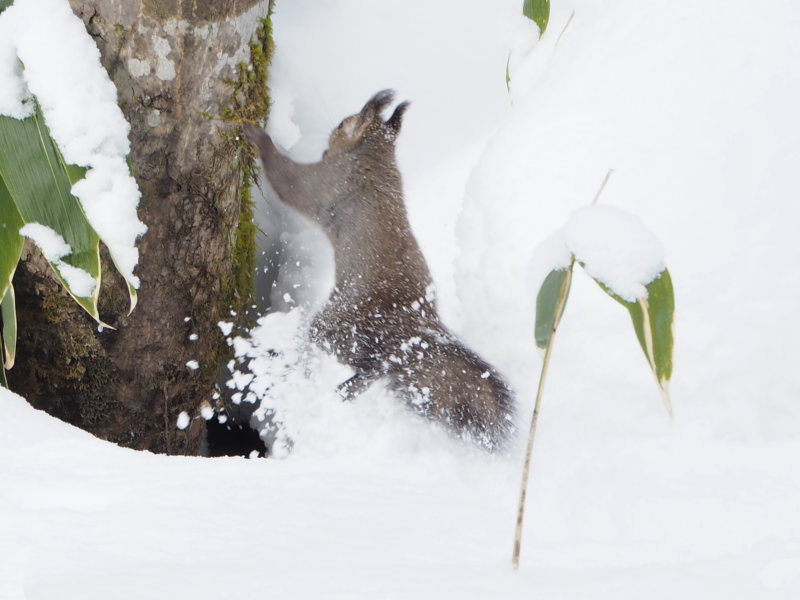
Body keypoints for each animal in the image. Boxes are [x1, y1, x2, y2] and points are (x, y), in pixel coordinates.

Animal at [244, 89, 516, 450]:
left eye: (344, 124)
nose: (329, 134)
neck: (375, 156)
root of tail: (417, 330)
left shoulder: (325, 182)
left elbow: (288, 181)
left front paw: (256, 135)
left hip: (341, 325)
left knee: (375, 364)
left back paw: (349, 386)